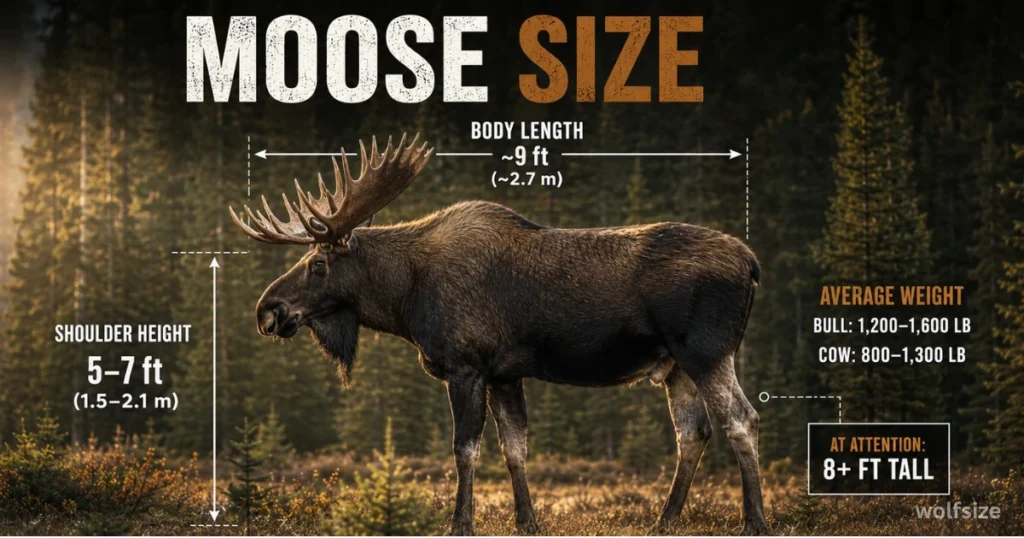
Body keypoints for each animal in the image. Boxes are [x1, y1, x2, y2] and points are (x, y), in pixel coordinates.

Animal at [229, 133, 768, 536]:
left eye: (317, 265)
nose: (266, 310)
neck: (405, 297)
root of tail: (753, 264)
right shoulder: (507, 374)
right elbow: (516, 450)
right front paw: (526, 521)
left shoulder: (466, 367)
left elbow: (465, 449)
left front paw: (459, 523)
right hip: (675, 366)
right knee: (692, 433)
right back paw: (665, 520)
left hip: (706, 352)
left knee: (742, 419)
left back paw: (754, 521)